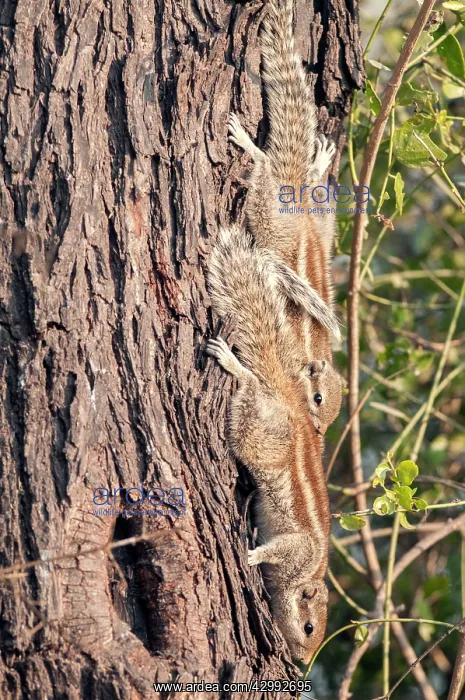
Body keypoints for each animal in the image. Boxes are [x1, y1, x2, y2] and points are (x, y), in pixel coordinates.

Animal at [207, 225, 333, 661]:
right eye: (309, 627)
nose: (300, 662)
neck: (310, 574)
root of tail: (289, 404)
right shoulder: (299, 549)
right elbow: (278, 549)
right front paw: (253, 554)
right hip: (260, 435)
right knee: (249, 387)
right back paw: (235, 365)